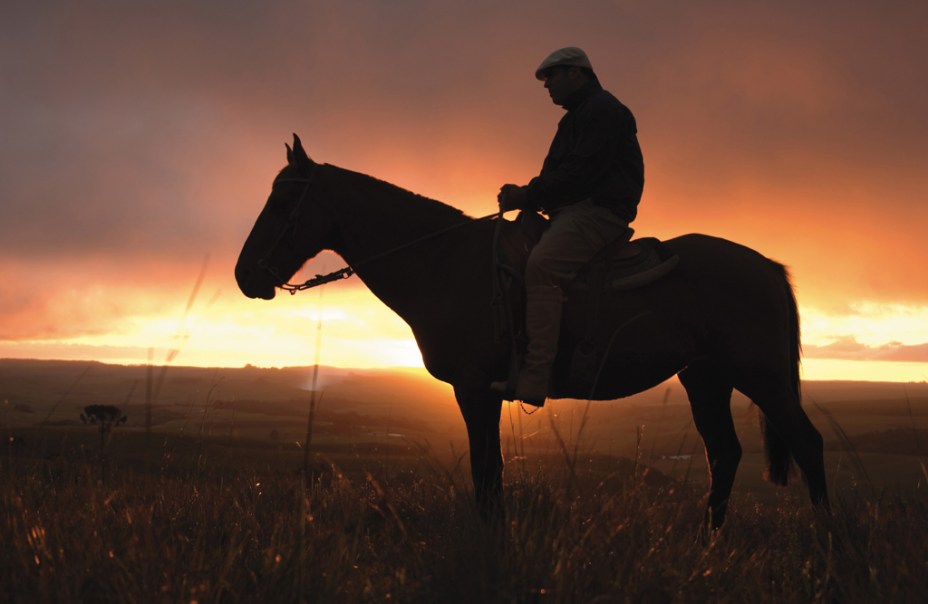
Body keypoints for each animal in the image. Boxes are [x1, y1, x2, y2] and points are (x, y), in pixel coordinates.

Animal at [237, 136, 828, 528]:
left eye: (284, 200)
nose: (244, 275)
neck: (444, 262)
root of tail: (768, 267)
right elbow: (491, 473)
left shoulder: (474, 389)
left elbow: (486, 472)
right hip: (705, 379)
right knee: (723, 454)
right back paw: (707, 543)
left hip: (762, 377)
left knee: (806, 442)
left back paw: (824, 543)